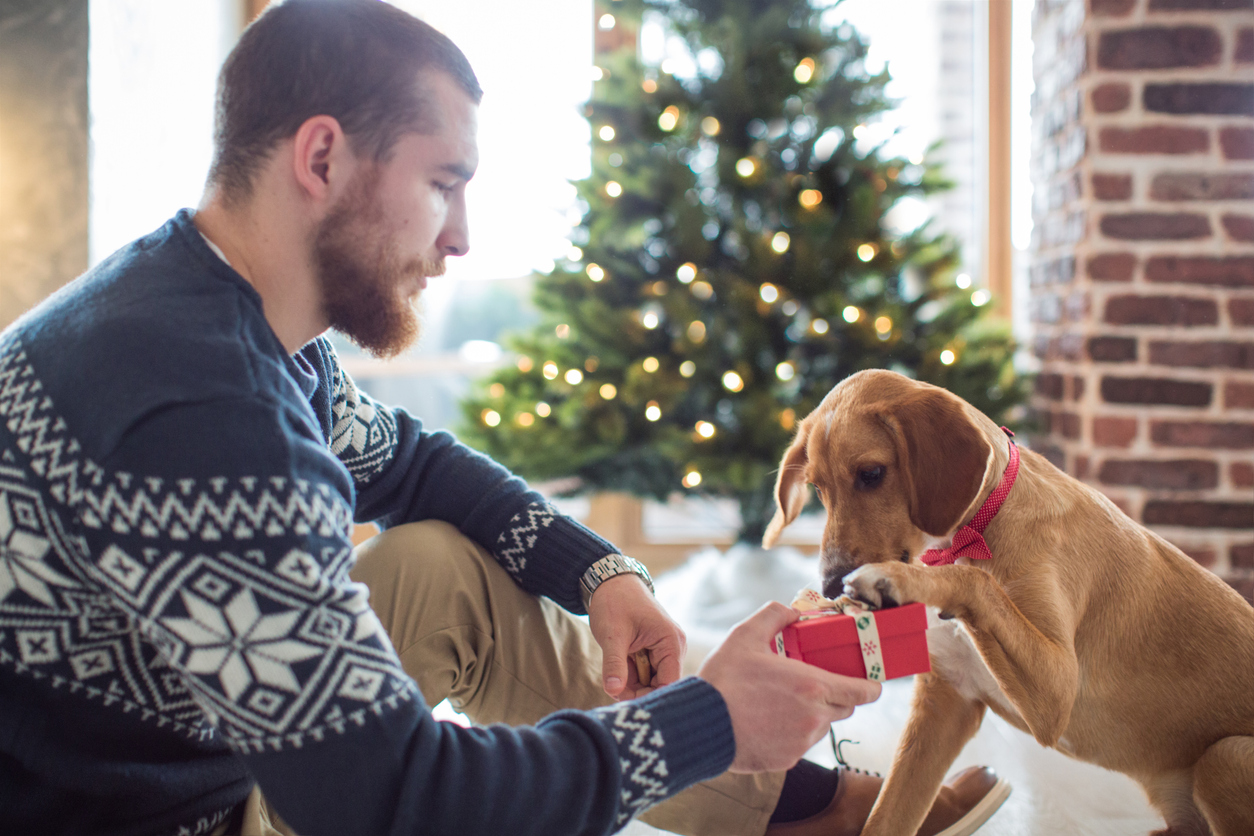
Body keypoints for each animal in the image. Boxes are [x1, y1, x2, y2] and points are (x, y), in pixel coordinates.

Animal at [757, 370, 1254, 836]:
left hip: (1225, 757)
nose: (831, 585)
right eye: (817, 488)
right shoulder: (944, 707)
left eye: (872, 474)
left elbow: (975, 580)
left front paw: (898, 580)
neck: (973, 531)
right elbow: (885, 818)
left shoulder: (1058, 691)